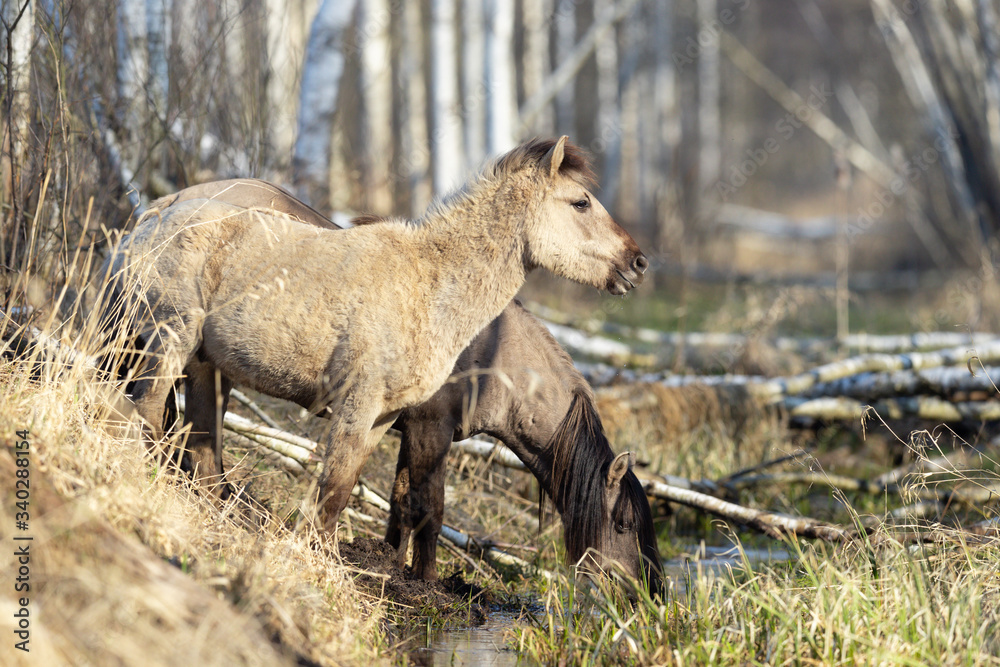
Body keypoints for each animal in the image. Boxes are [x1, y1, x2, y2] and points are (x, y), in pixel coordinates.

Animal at [98, 136, 649, 538]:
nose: (638, 263)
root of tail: (149, 218)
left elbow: (343, 495)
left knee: (198, 448)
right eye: (580, 202)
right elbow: (335, 489)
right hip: (169, 339)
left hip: (203, 365)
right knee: (143, 412)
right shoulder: (357, 404)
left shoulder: (385, 419)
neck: (429, 284)